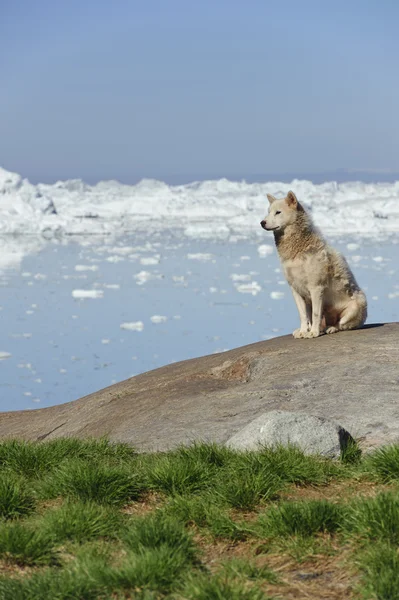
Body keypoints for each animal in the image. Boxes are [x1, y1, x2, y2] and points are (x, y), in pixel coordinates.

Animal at [260, 191, 368, 338]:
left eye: (278, 212)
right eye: (268, 212)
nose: (262, 222)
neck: (298, 249)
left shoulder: (316, 288)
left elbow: (315, 314)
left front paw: (313, 333)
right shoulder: (296, 289)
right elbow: (303, 315)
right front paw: (303, 331)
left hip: (355, 307)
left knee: (341, 324)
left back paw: (329, 328)